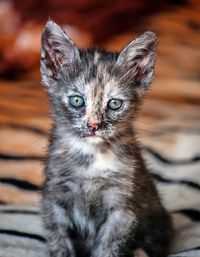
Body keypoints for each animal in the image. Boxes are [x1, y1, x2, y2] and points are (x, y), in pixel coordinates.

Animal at [40, 20, 172, 256]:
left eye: (115, 104)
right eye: (76, 100)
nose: (94, 125)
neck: (91, 157)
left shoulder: (123, 206)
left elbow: (109, 246)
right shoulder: (54, 198)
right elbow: (58, 239)